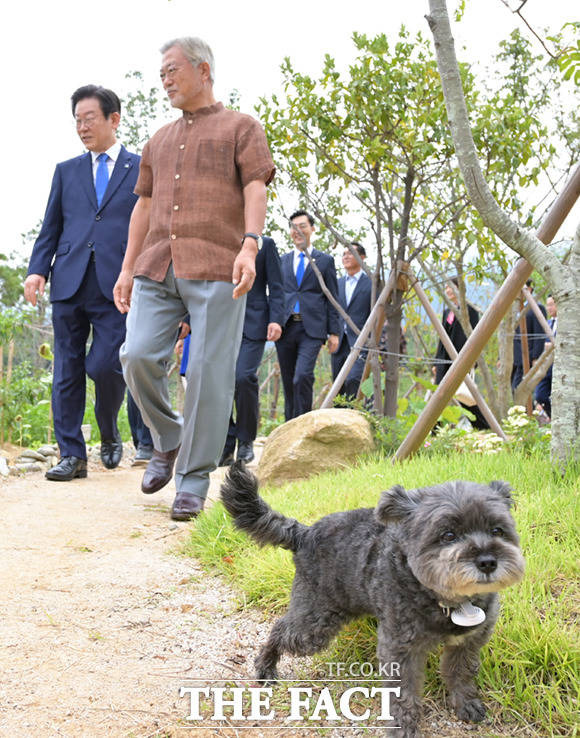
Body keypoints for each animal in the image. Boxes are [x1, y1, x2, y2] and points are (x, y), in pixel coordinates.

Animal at [219, 460, 524, 736]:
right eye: (448, 535)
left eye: (497, 530)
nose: (487, 562)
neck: (444, 599)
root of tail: (304, 533)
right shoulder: (400, 649)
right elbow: (404, 694)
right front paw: (403, 728)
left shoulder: (468, 641)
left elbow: (460, 672)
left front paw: (465, 703)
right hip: (316, 622)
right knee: (281, 628)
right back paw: (265, 668)